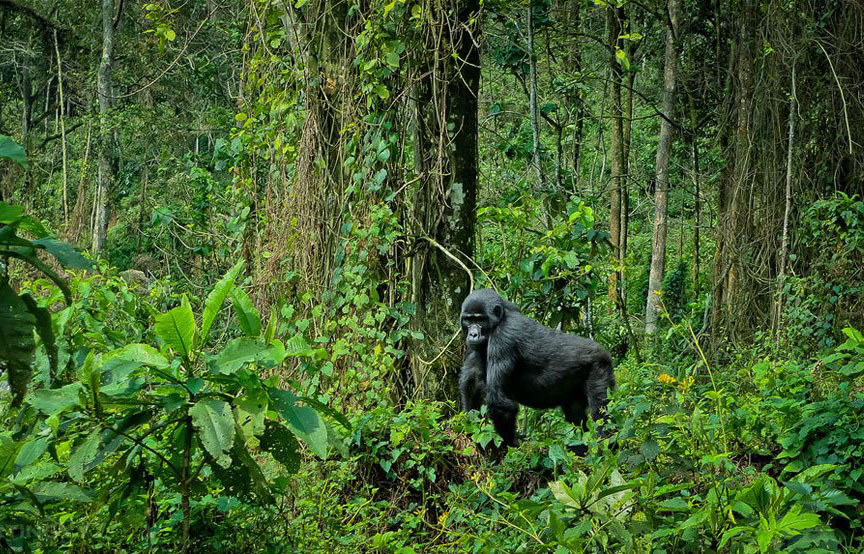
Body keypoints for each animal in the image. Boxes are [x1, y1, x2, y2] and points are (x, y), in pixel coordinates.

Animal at [460, 286, 616, 446]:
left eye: (480, 320)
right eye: (468, 320)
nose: (473, 334)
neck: (501, 318)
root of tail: (604, 351)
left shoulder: (503, 338)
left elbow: (498, 401)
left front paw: (511, 443)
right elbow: (473, 379)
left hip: (599, 366)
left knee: (600, 411)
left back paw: (607, 442)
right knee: (576, 418)